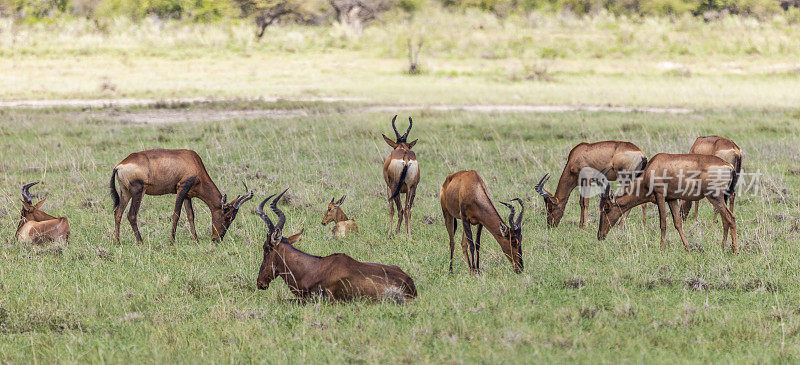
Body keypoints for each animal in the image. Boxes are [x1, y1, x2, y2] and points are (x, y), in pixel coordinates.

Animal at [109, 148, 253, 245]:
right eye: (228, 216)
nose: (217, 239)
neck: (193, 161)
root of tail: (119, 166)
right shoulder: (181, 188)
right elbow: (176, 215)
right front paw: (172, 241)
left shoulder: (187, 195)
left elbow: (190, 216)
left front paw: (196, 240)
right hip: (138, 191)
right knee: (131, 215)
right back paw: (140, 242)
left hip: (125, 192)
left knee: (118, 213)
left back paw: (117, 242)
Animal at [596, 152, 740, 252]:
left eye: (606, 208)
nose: (600, 236)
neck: (653, 167)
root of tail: (729, 166)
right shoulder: (672, 199)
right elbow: (677, 223)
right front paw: (687, 248)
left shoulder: (660, 195)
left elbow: (663, 223)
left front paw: (662, 248)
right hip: (721, 197)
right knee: (725, 220)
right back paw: (722, 247)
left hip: (715, 197)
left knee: (730, 217)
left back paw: (735, 250)